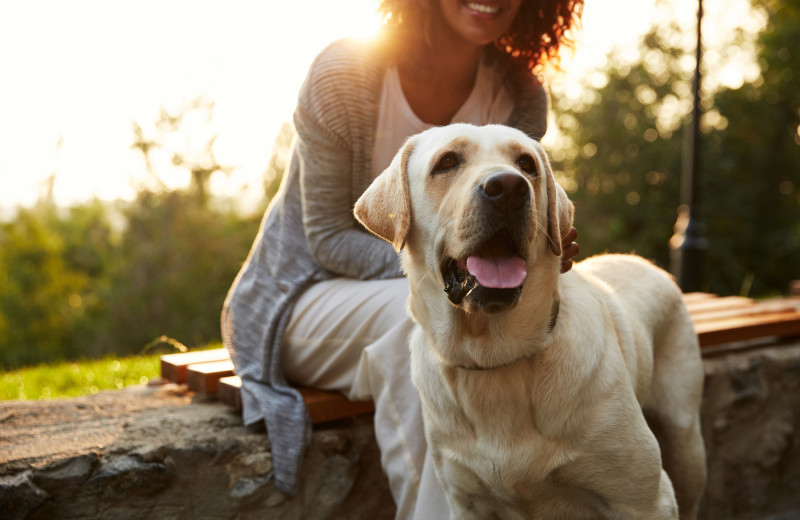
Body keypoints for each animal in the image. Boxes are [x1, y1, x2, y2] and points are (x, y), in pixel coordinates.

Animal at [354, 124, 704, 516]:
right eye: (446, 162)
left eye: (526, 164)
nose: (508, 187)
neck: (494, 358)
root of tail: (646, 263)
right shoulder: (466, 502)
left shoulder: (644, 499)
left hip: (685, 442)